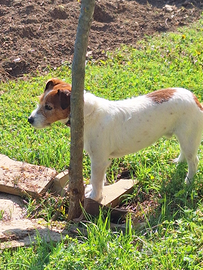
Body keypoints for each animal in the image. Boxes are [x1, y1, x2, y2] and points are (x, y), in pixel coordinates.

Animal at [28, 77, 203, 200]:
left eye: (48, 107)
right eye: (40, 102)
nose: (29, 120)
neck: (86, 113)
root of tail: (195, 98)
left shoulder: (98, 160)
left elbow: (96, 179)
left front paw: (94, 196)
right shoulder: (101, 160)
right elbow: (99, 179)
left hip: (188, 138)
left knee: (194, 161)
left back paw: (188, 182)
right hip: (185, 137)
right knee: (186, 154)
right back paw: (179, 161)